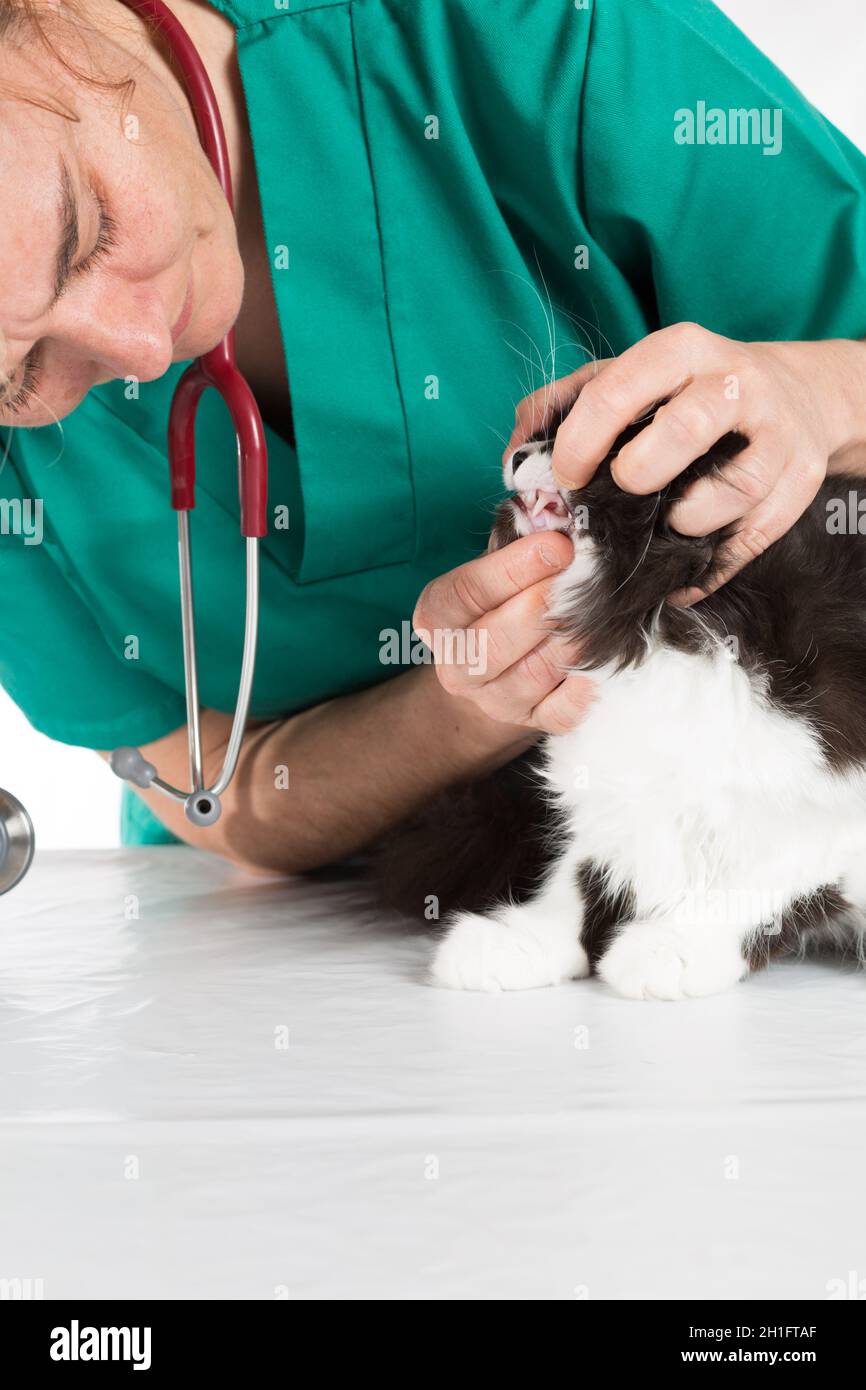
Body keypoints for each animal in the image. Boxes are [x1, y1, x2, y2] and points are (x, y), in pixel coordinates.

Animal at [378, 389, 866, 1000]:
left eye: (590, 447)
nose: (519, 454)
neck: (654, 620)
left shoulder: (827, 801)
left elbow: (766, 884)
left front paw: (672, 949)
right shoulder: (613, 776)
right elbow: (581, 870)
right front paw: (526, 938)